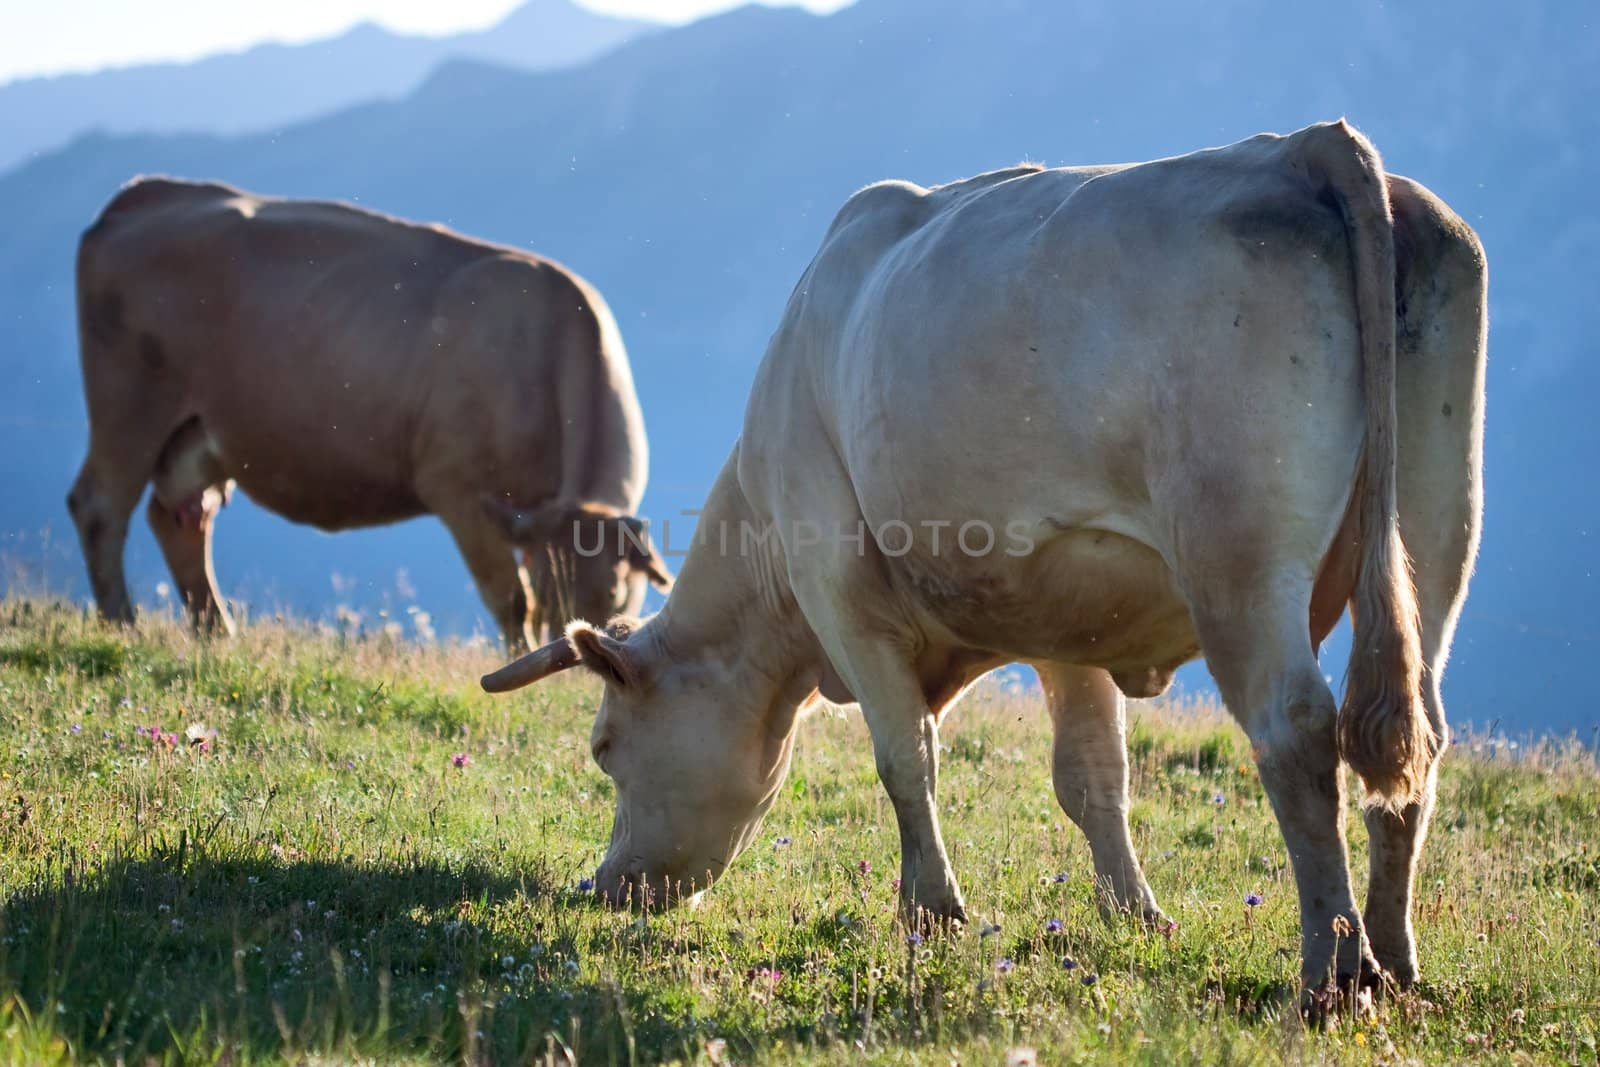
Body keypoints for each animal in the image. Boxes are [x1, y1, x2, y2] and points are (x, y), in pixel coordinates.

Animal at [67, 178, 668, 646]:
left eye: (616, 591)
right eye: (552, 588)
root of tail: (143, 196)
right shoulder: (458, 492)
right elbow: (509, 601)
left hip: (196, 434)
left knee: (181, 517)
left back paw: (216, 631)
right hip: (129, 405)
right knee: (101, 506)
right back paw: (123, 623)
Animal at [483, 120, 1484, 998]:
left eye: (605, 746)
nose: (603, 886)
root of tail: (1305, 146)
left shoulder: (838, 587)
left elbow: (904, 756)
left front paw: (930, 911)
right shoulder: (1070, 616)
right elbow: (1092, 776)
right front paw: (1136, 914)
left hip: (1239, 556)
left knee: (1299, 728)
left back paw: (1334, 968)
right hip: (1435, 530)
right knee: (1415, 735)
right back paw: (1397, 960)